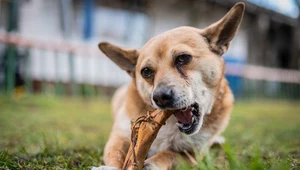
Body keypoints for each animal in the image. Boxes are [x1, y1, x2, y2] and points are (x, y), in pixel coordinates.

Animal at [92, 2, 245, 169]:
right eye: (146, 71)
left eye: (183, 58)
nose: (160, 97)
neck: (170, 124)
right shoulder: (120, 136)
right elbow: (116, 153)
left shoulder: (193, 154)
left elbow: (169, 153)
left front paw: (152, 163)